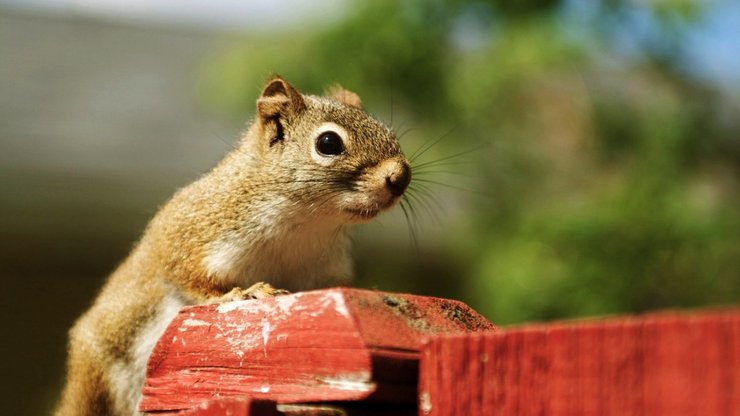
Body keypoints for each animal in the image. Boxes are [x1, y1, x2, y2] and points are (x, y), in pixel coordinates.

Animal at [55, 76, 414, 414]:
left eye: (389, 133)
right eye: (329, 143)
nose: (401, 177)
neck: (303, 224)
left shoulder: (323, 273)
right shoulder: (187, 235)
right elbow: (187, 276)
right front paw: (242, 293)